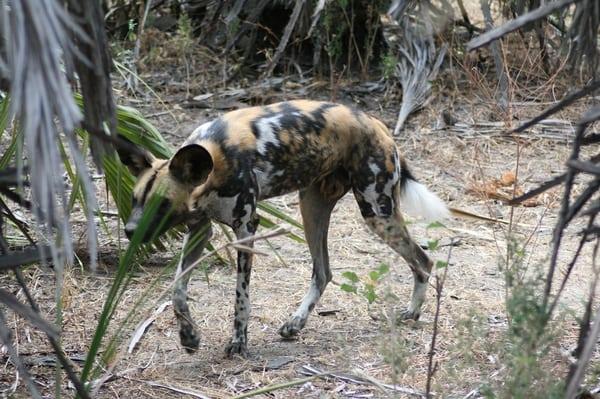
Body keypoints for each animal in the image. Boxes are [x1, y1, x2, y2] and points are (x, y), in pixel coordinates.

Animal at [117, 101, 448, 360]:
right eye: (135, 199)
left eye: (162, 204)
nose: (130, 231)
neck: (217, 159)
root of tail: (378, 124)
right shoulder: (200, 229)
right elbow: (177, 290)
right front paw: (189, 337)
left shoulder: (246, 228)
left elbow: (241, 298)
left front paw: (238, 343)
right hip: (311, 209)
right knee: (323, 272)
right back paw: (295, 323)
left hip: (376, 213)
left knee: (423, 260)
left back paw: (412, 313)